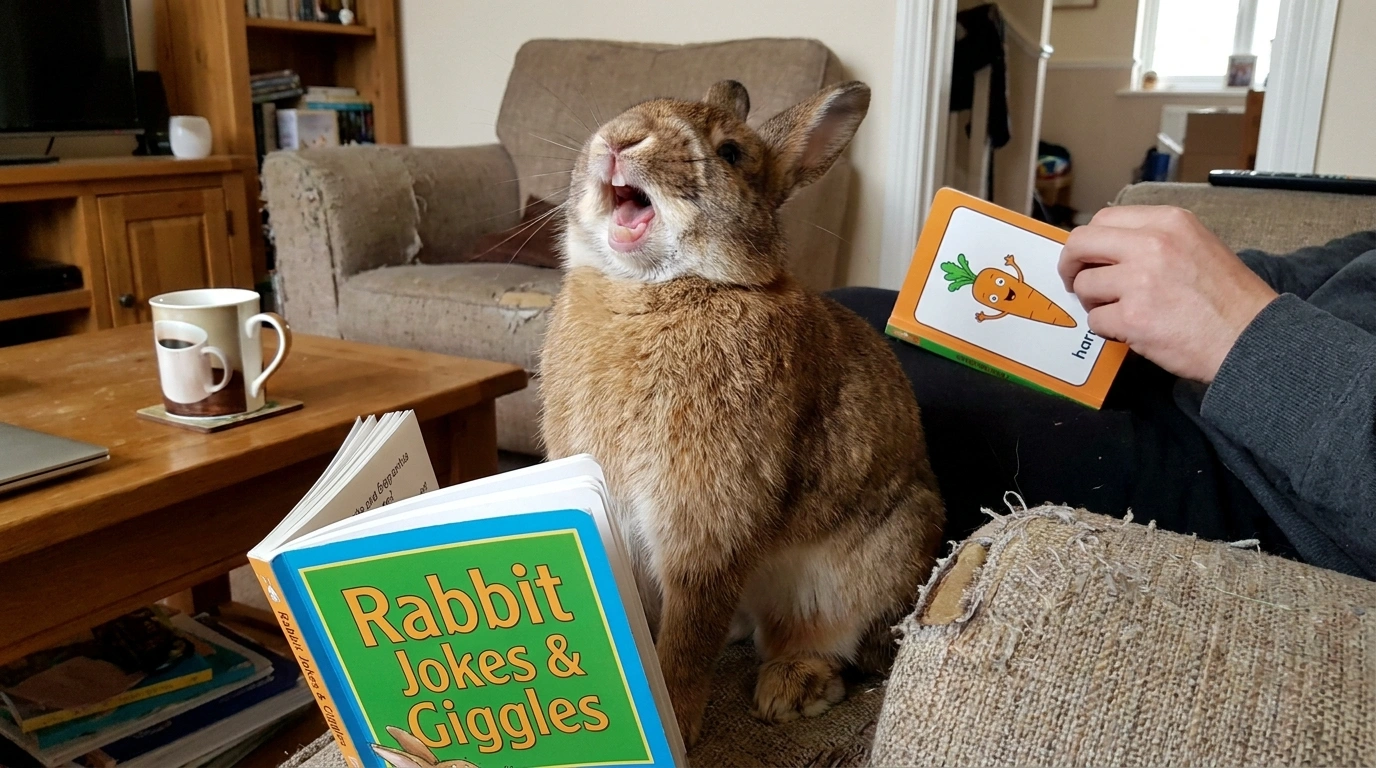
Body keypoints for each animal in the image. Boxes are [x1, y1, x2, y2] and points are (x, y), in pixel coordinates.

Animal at [540, 79, 945, 747]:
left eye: (731, 153)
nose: (619, 140)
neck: (651, 289)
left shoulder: (705, 520)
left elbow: (686, 635)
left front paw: (675, 720)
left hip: (861, 573)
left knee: (831, 646)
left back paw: (791, 690)